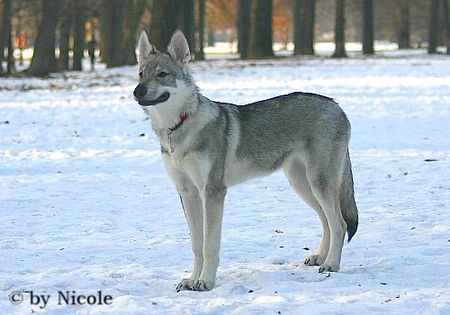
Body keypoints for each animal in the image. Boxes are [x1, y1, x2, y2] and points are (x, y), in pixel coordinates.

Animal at [134, 30, 358, 292]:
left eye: (162, 74)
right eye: (141, 74)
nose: (137, 91)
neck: (178, 127)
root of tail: (337, 105)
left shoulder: (213, 192)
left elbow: (209, 245)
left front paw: (205, 281)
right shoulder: (187, 194)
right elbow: (197, 245)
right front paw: (192, 279)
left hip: (318, 184)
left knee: (339, 224)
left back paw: (331, 264)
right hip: (303, 185)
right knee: (326, 222)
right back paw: (320, 258)